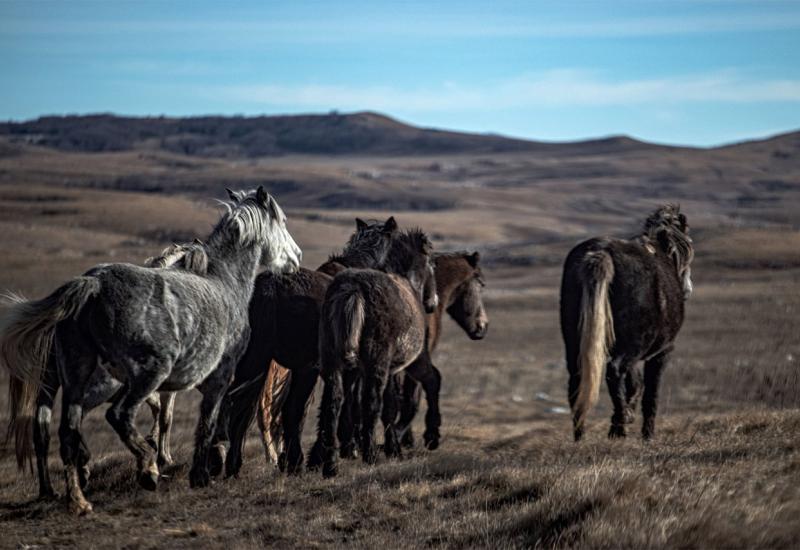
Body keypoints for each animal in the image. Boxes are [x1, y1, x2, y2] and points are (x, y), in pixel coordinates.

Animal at [2, 188, 300, 516]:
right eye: (282, 221)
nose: (297, 257)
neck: (224, 283)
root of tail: (94, 283)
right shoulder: (219, 378)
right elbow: (207, 423)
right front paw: (200, 474)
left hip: (78, 378)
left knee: (64, 432)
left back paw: (78, 499)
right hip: (145, 374)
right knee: (118, 415)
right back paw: (147, 471)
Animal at [312, 229, 438, 478]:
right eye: (431, 263)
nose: (432, 303)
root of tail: (353, 290)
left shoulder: (382, 371)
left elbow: (386, 407)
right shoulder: (403, 365)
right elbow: (396, 402)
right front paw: (405, 446)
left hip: (333, 362)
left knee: (333, 404)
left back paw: (330, 465)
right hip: (375, 364)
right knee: (370, 404)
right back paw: (370, 455)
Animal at [560, 205, 692, 442]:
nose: (687, 289)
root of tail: (601, 253)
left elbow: (635, 384)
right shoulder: (662, 352)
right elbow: (650, 393)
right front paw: (646, 434)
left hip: (575, 342)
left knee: (577, 381)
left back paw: (581, 436)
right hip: (631, 346)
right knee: (614, 372)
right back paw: (620, 425)